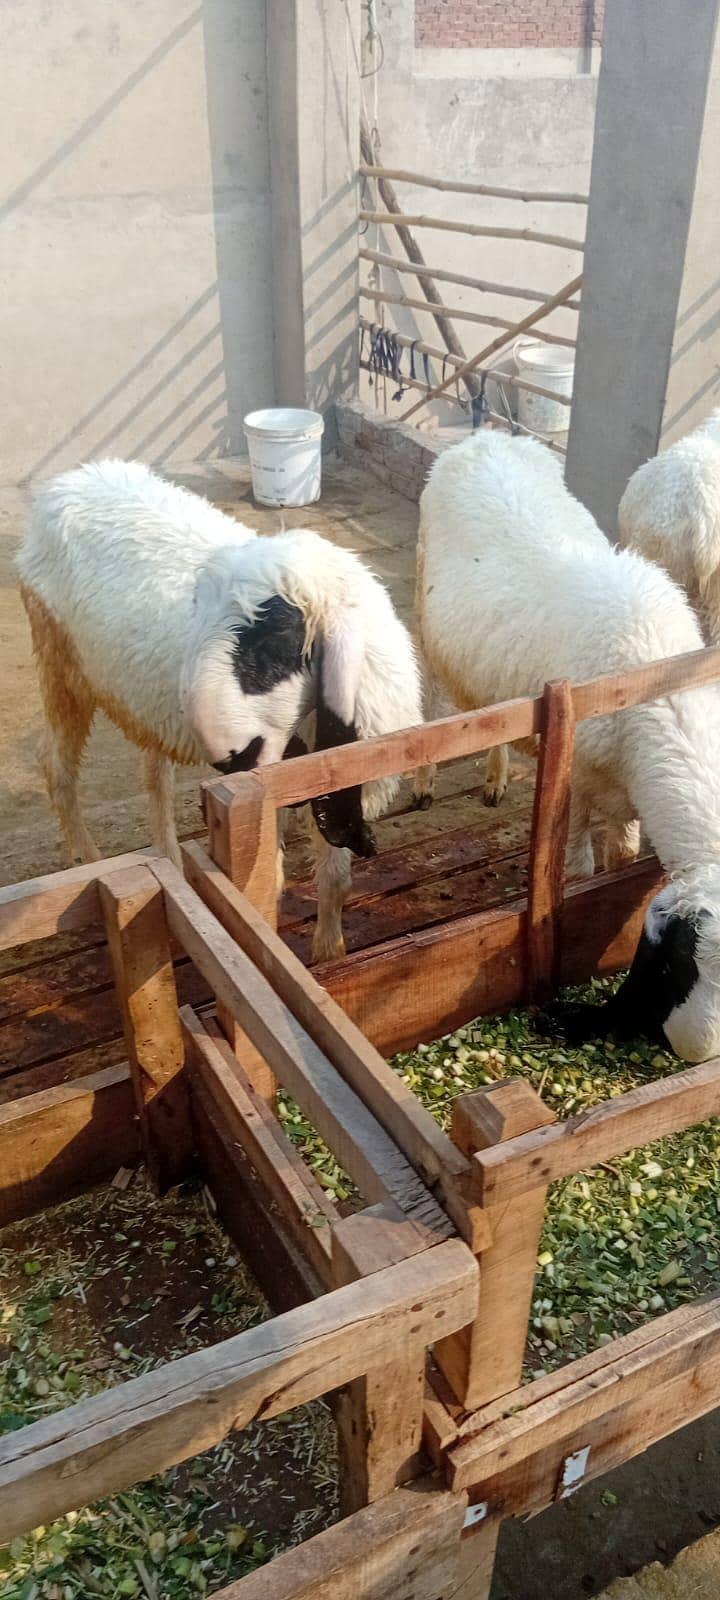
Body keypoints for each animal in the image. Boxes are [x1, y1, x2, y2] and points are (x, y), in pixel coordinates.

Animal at [17, 458, 421, 962]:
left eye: (277, 637)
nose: (230, 756)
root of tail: (73, 478)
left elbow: (335, 876)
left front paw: (330, 953)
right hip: (60, 659)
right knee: (57, 765)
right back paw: (89, 862)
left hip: (139, 697)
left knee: (153, 775)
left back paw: (166, 861)